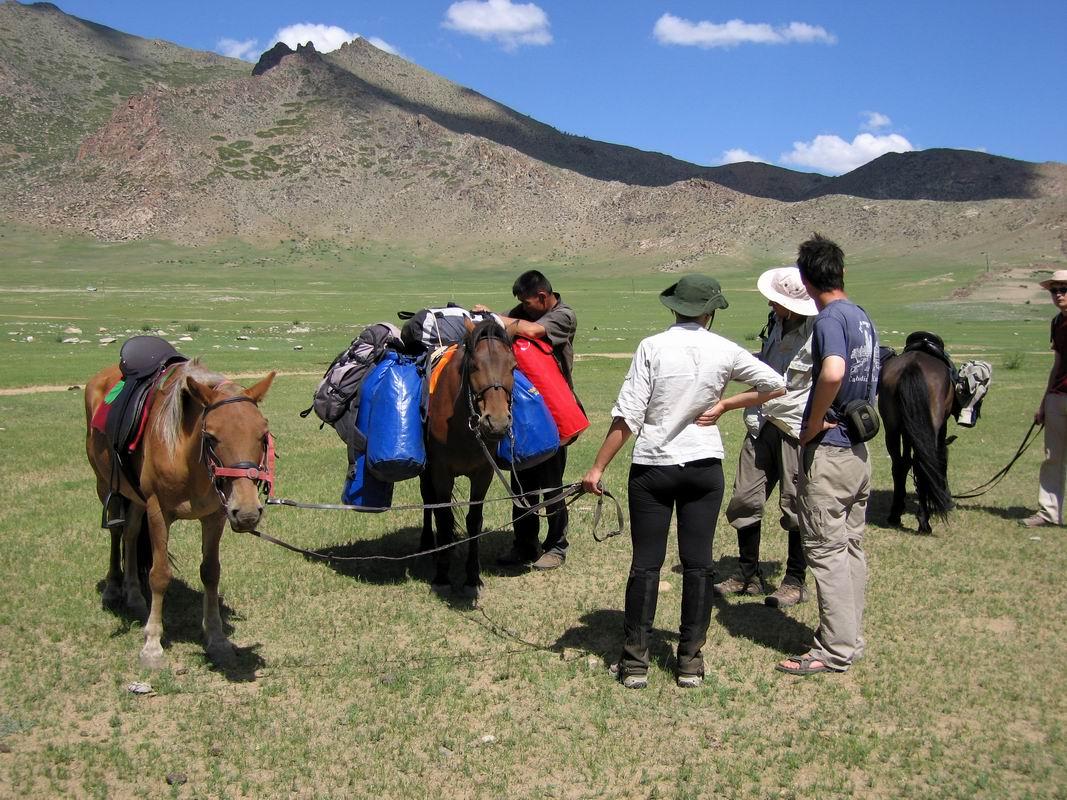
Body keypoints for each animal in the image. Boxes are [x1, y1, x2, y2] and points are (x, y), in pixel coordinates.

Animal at [85, 362, 275, 669]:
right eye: (210, 437)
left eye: (263, 435)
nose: (247, 513)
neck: (187, 459)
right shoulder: (158, 512)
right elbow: (159, 574)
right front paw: (152, 644)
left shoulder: (215, 516)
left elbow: (211, 572)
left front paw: (217, 639)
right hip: (106, 485)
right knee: (116, 532)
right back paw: (113, 588)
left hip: (135, 496)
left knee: (131, 533)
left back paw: (134, 594)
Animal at [418, 315, 514, 597]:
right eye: (474, 365)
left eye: (513, 366)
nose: (497, 422)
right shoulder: (441, 472)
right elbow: (444, 517)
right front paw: (442, 575)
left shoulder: (483, 473)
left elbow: (474, 520)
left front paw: (473, 577)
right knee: (428, 501)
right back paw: (428, 544)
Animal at [874, 341, 960, 535]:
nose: (949, 499)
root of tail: (912, 365)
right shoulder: (940, 429)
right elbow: (936, 460)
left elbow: (907, 462)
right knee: (922, 465)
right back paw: (924, 522)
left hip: (892, 428)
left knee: (898, 465)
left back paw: (895, 514)